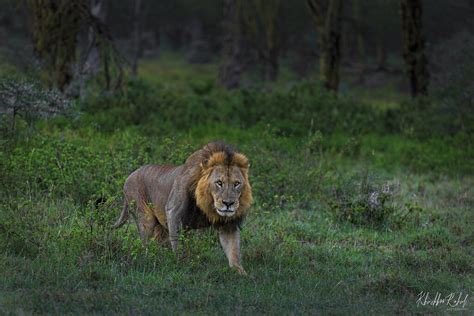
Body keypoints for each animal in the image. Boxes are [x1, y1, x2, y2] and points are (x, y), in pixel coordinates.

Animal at [112, 141, 252, 274]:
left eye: (236, 183)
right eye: (219, 183)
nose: (228, 203)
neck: (208, 204)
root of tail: (129, 176)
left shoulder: (229, 225)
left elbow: (233, 250)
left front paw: (241, 273)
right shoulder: (173, 212)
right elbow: (178, 244)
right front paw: (182, 266)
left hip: (161, 227)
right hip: (145, 217)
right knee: (145, 244)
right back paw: (150, 259)